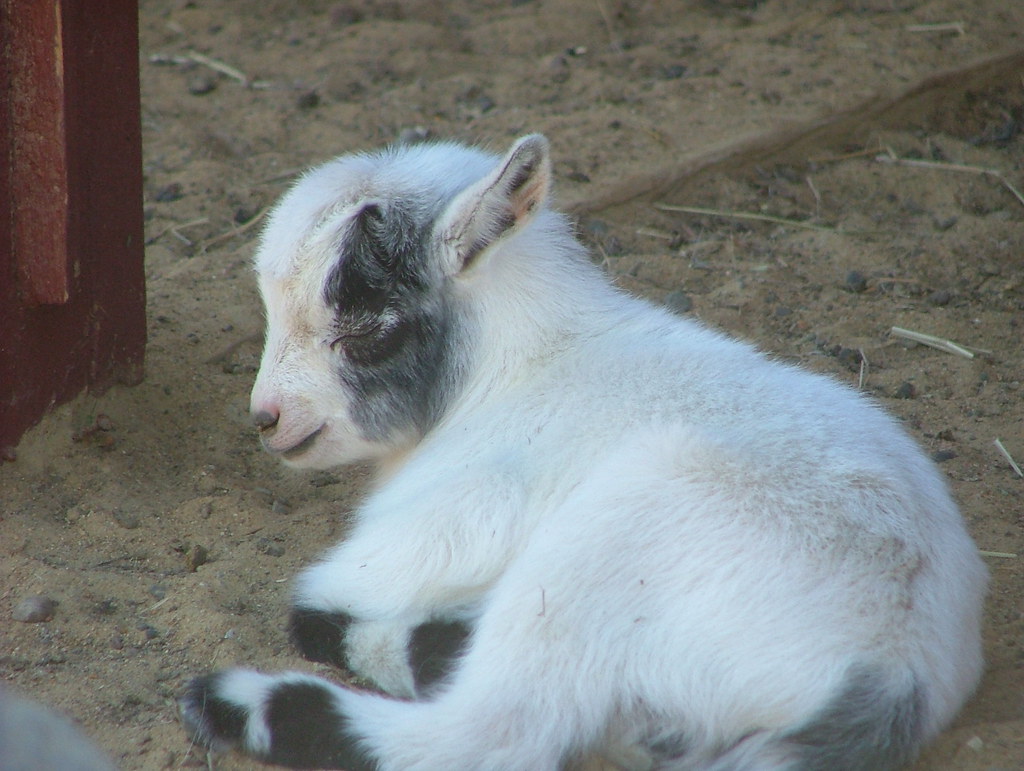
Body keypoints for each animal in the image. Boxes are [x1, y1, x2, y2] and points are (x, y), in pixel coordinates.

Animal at [180, 134, 987, 770]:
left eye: (366, 324)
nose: (267, 418)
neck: (517, 368)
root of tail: (895, 666)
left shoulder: (449, 522)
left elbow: (313, 600)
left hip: (616, 540)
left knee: (497, 730)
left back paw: (240, 701)